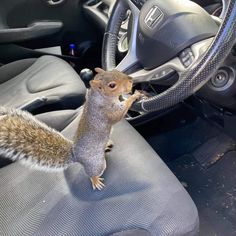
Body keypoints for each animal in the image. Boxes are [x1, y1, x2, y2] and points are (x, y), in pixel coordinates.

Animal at [0, 68, 143, 190]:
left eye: (115, 70)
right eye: (112, 85)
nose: (131, 79)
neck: (98, 96)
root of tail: (75, 156)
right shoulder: (106, 112)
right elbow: (119, 114)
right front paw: (134, 96)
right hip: (97, 164)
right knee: (92, 173)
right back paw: (95, 180)